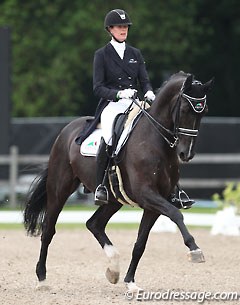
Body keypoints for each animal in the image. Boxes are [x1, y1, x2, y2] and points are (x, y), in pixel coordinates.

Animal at [23, 71, 213, 292]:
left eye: (204, 111)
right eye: (183, 109)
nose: (186, 154)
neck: (155, 141)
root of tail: (67, 130)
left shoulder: (155, 202)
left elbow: (140, 244)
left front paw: (130, 282)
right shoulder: (147, 195)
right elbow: (176, 214)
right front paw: (195, 249)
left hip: (113, 199)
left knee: (94, 224)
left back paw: (113, 269)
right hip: (59, 189)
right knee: (48, 229)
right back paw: (42, 278)